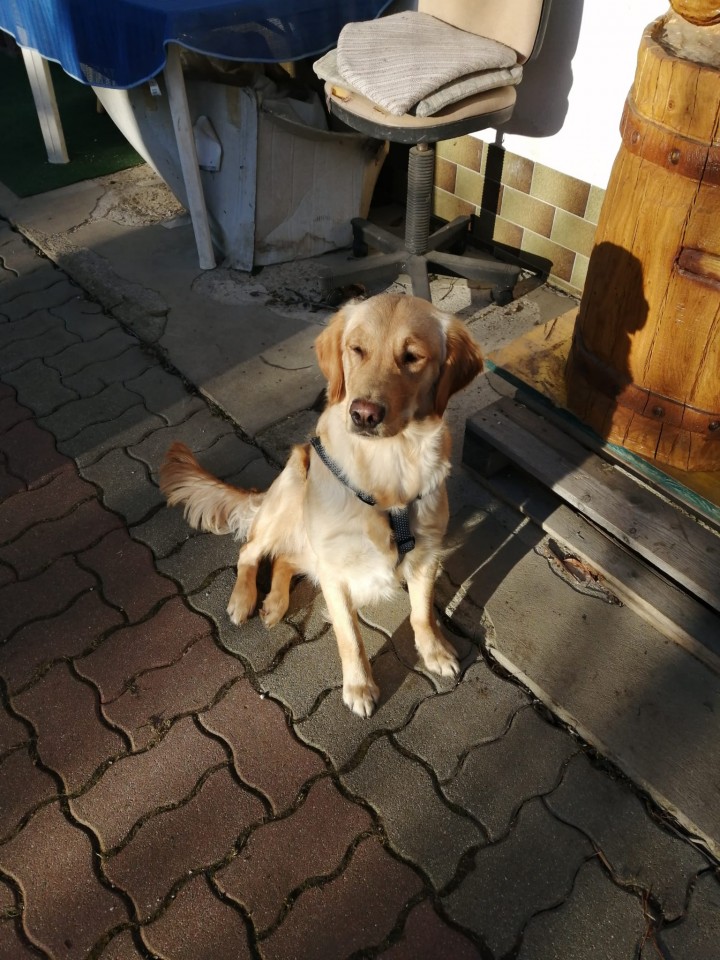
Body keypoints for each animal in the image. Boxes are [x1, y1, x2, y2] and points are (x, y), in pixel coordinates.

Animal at [159, 293, 484, 717]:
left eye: (412, 356)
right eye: (357, 349)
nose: (364, 414)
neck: (387, 466)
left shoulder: (425, 553)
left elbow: (421, 612)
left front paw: (435, 652)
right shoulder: (334, 567)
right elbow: (350, 636)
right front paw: (360, 687)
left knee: (284, 559)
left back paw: (274, 602)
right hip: (293, 488)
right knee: (251, 549)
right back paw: (244, 600)